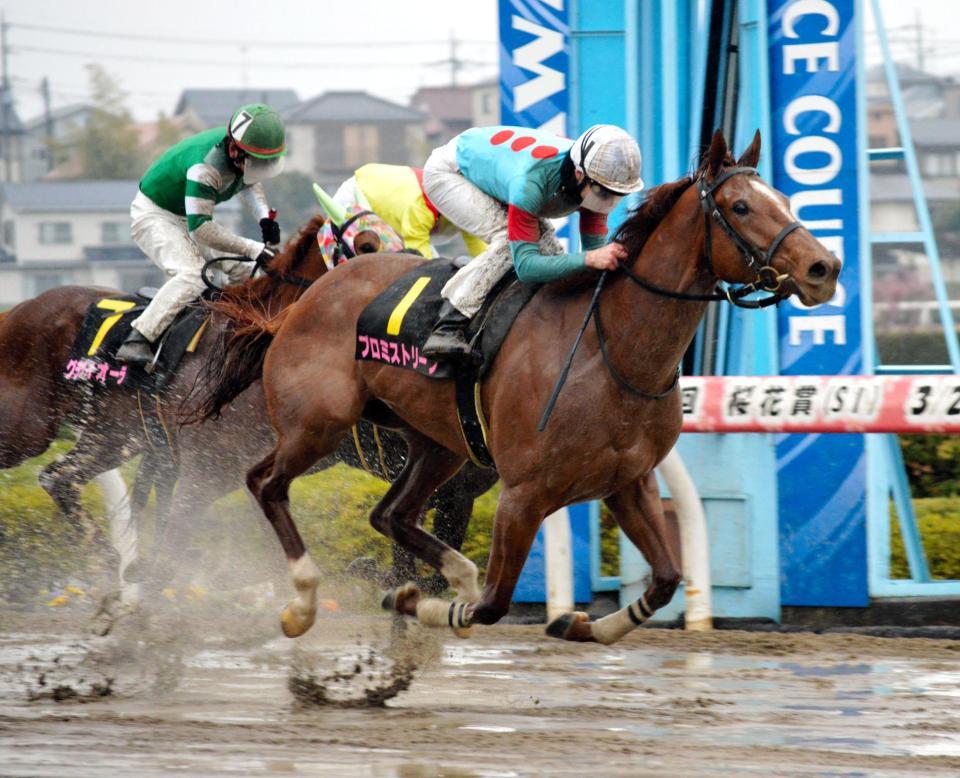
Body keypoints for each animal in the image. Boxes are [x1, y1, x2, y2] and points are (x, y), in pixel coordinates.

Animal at [195, 132, 840, 644]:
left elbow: (664, 580)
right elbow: (491, 605)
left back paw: (448, 571)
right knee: (267, 484)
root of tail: (303, 299)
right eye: (740, 206)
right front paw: (421, 604)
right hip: (317, 425)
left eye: (785, 200)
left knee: (390, 514)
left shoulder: (628, 481)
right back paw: (303, 603)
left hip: (439, 446)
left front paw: (580, 623)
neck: (610, 350)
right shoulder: (523, 493)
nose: (824, 268)